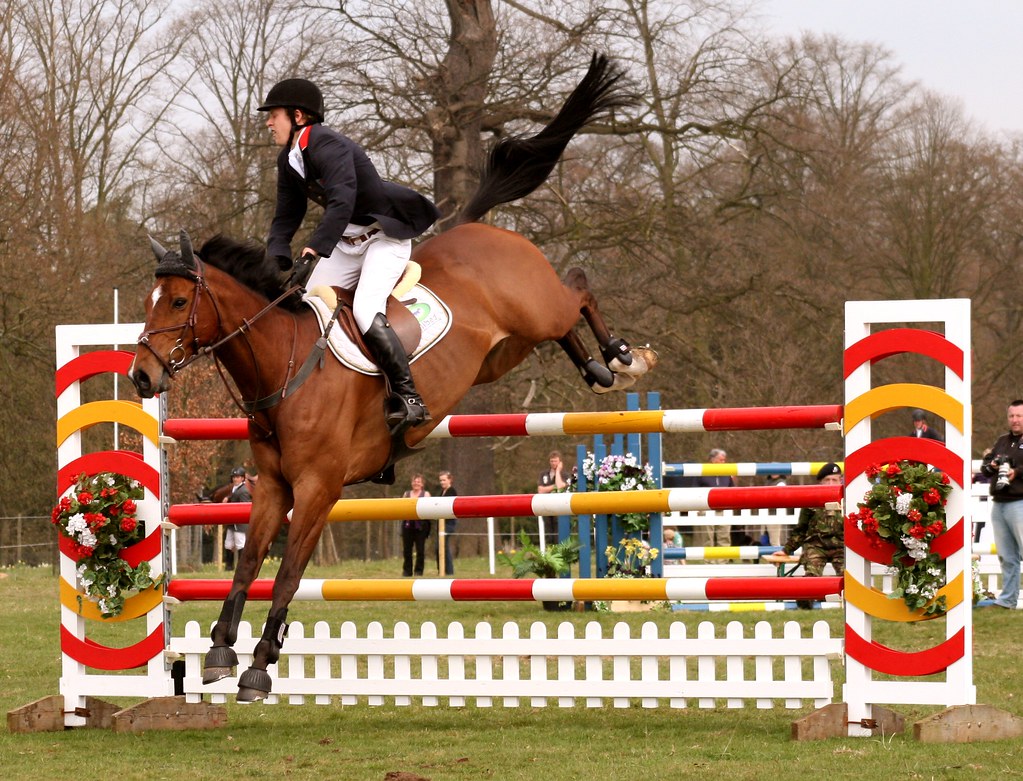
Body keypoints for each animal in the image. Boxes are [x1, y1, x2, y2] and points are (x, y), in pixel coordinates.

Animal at [129, 53, 656, 701]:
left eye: (179, 302)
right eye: (150, 301)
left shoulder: (318, 489)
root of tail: (478, 226)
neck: (283, 363)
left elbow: (287, 574)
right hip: (507, 350)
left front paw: (260, 663)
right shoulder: (271, 487)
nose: (142, 377)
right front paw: (220, 650)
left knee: (578, 286)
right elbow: (248, 565)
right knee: (565, 325)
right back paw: (595, 368)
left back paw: (623, 358)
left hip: (537, 308)